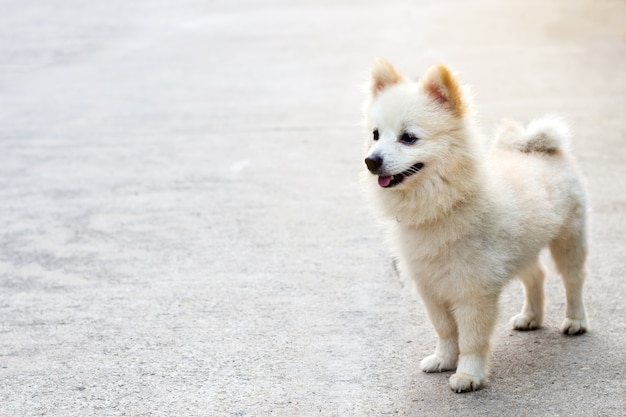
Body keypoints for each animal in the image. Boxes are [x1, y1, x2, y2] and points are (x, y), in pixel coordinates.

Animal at [364, 60, 588, 392]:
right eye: (376, 135)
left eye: (408, 137)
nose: (371, 160)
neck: (444, 204)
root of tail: (538, 147)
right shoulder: (431, 286)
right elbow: (445, 330)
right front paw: (443, 359)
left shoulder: (473, 290)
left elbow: (470, 338)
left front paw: (469, 375)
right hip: (522, 250)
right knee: (536, 275)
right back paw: (531, 317)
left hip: (569, 239)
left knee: (573, 279)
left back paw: (575, 321)